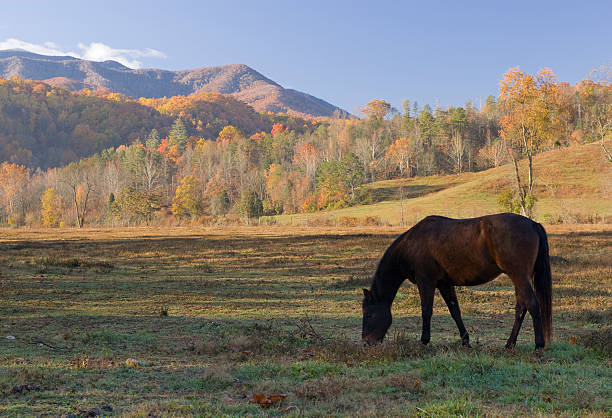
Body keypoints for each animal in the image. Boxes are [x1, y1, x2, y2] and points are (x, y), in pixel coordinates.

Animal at [360, 212, 552, 350]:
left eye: (368, 315)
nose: (366, 343)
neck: (413, 244)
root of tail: (532, 224)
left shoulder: (426, 282)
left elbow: (426, 311)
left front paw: (424, 341)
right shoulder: (445, 284)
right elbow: (455, 311)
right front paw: (466, 341)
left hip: (519, 276)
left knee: (532, 304)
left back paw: (538, 345)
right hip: (519, 278)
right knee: (521, 308)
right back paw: (509, 344)